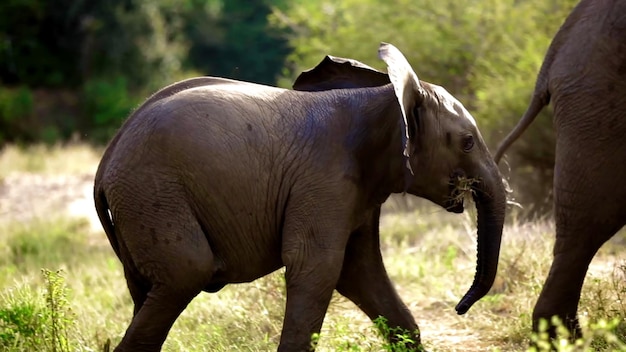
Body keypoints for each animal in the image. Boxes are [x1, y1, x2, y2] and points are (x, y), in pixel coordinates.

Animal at [96, 42, 508, 352]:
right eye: (467, 142)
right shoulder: (325, 182)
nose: (460, 307)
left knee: (150, 291)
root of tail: (105, 165)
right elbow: (318, 268)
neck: (383, 98)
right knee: (186, 274)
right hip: (152, 194)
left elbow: (361, 273)